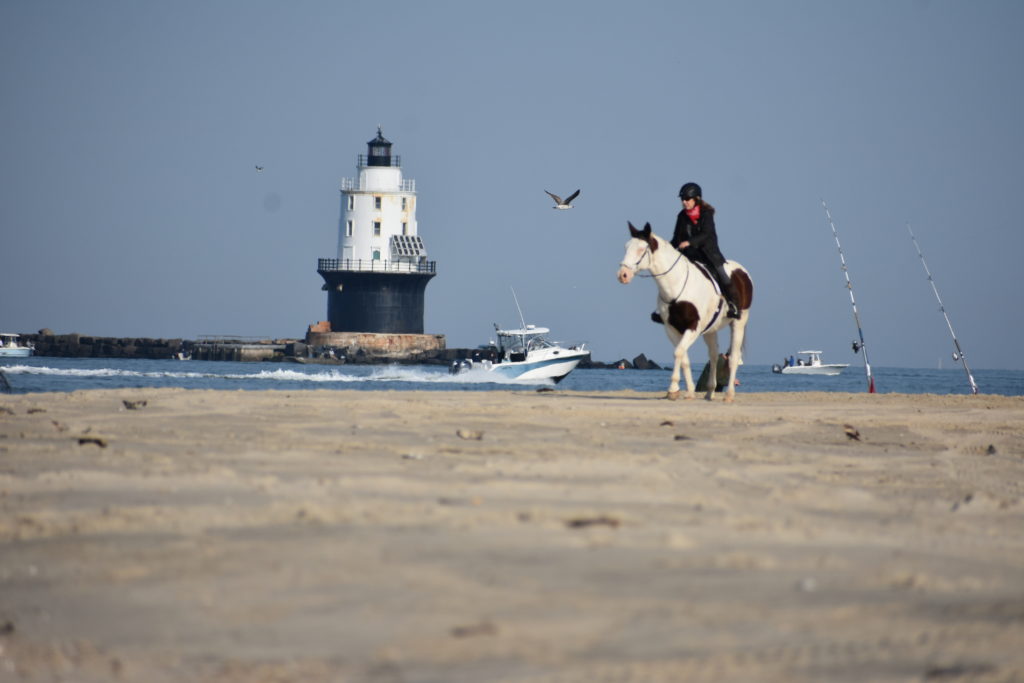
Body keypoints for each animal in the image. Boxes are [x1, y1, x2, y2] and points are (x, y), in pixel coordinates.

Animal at [617, 222, 753, 402]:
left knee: (733, 357)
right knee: (713, 355)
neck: (677, 284)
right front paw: (688, 391)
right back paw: (710, 392)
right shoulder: (672, 329)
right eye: (626, 247)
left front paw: (673, 389)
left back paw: (729, 395)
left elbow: (678, 353)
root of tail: (742, 271)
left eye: (641, 249)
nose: (622, 275)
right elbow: (684, 358)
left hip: (739, 322)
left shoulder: (693, 327)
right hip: (711, 329)